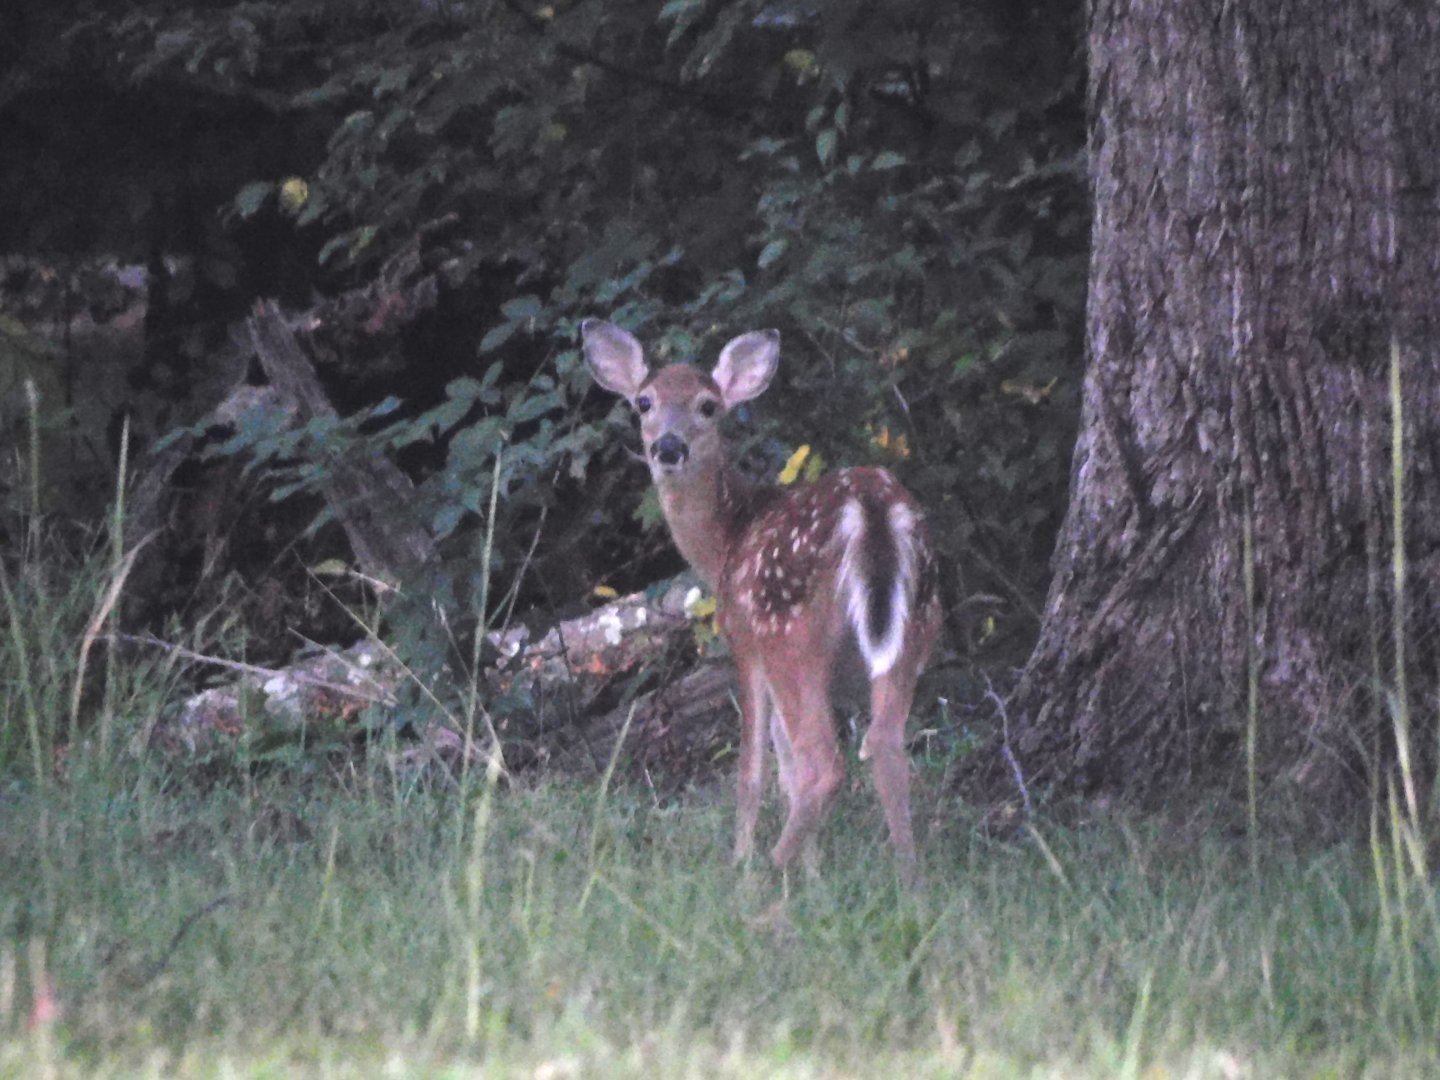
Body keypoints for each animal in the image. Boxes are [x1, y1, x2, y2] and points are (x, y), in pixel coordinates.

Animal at [581, 319, 942, 886]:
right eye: (644, 401)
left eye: (708, 405)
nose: (668, 446)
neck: (725, 542)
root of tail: (872, 509)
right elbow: (784, 763)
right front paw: (814, 877)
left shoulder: (743, 641)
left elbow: (753, 768)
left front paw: (749, 858)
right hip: (915, 625)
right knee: (884, 744)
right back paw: (908, 883)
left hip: (789, 632)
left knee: (825, 763)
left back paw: (761, 876)